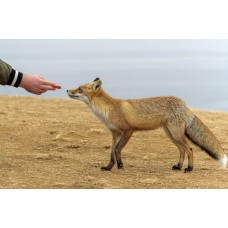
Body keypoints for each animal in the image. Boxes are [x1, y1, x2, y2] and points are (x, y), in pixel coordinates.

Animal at [67, 77, 227, 172]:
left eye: (80, 89)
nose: (68, 90)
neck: (108, 110)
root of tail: (184, 103)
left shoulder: (128, 130)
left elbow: (117, 149)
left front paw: (120, 165)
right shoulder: (114, 133)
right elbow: (111, 152)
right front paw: (109, 167)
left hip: (175, 134)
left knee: (190, 149)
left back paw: (189, 168)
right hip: (170, 134)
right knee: (182, 150)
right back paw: (178, 166)